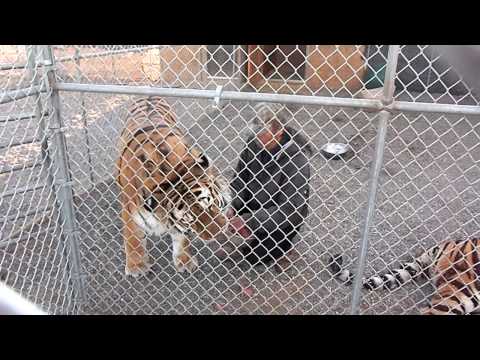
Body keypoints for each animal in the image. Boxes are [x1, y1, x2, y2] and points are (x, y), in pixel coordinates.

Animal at [115, 95, 230, 276]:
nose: (218, 235)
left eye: (209, 204)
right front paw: (137, 266)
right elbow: (132, 238)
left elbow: (181, 238)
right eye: (190, 219)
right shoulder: (129, 211)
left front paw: (185, 260)